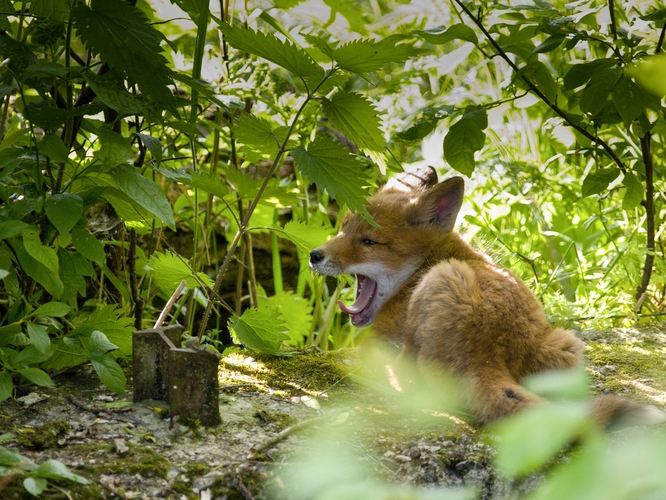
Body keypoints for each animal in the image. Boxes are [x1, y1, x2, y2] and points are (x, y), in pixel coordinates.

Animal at [312, 170, 664, 428]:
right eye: (343, 228)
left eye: (368, 241)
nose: (315, 255)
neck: (422, 267)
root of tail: (488, 352)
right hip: (566, 344)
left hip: (441, 284)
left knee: (409, 382)